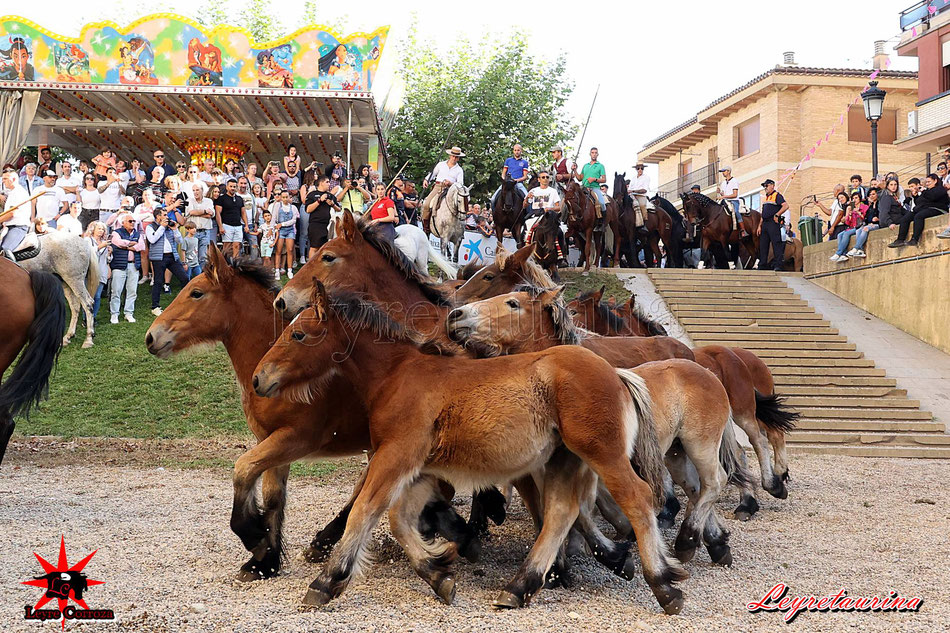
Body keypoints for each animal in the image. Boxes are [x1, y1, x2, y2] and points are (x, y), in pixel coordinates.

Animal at [253, 282, 688, 612]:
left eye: (298, 334)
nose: (259, 379)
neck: (398, 376)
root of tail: (616, 373)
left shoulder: (395, 456)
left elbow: (364, 513)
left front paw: (327, 582)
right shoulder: (420, 469)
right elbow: (400, 519)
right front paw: (438, 573)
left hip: (602, 454)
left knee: (637, 498)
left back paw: (664, 585)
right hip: (565, 459)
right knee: (561, 512)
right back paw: (519, 587)